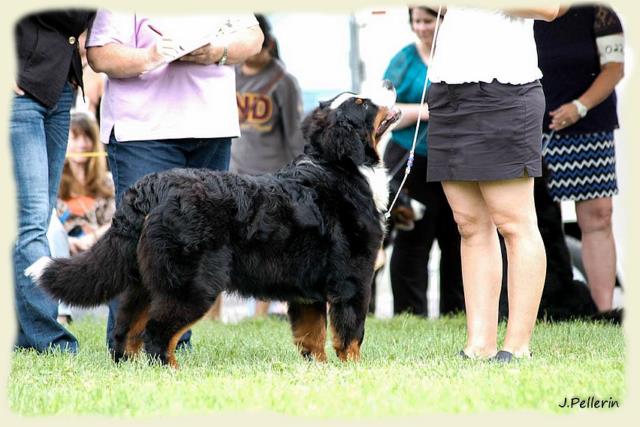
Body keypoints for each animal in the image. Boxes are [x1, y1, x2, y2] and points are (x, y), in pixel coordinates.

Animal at [35, 81, 400, 368]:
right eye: (362, 104)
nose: (389, 82)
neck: (341, 168)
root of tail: (151, 188)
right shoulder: (353, 278)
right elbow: (351, 334)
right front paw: (353, 370)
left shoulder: (306, 289)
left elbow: (311, 337)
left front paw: (319, 370)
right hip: (193, 284)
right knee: (157, 333)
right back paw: (170, 370)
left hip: (145, 282)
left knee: (125, 330)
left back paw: (131, 368)